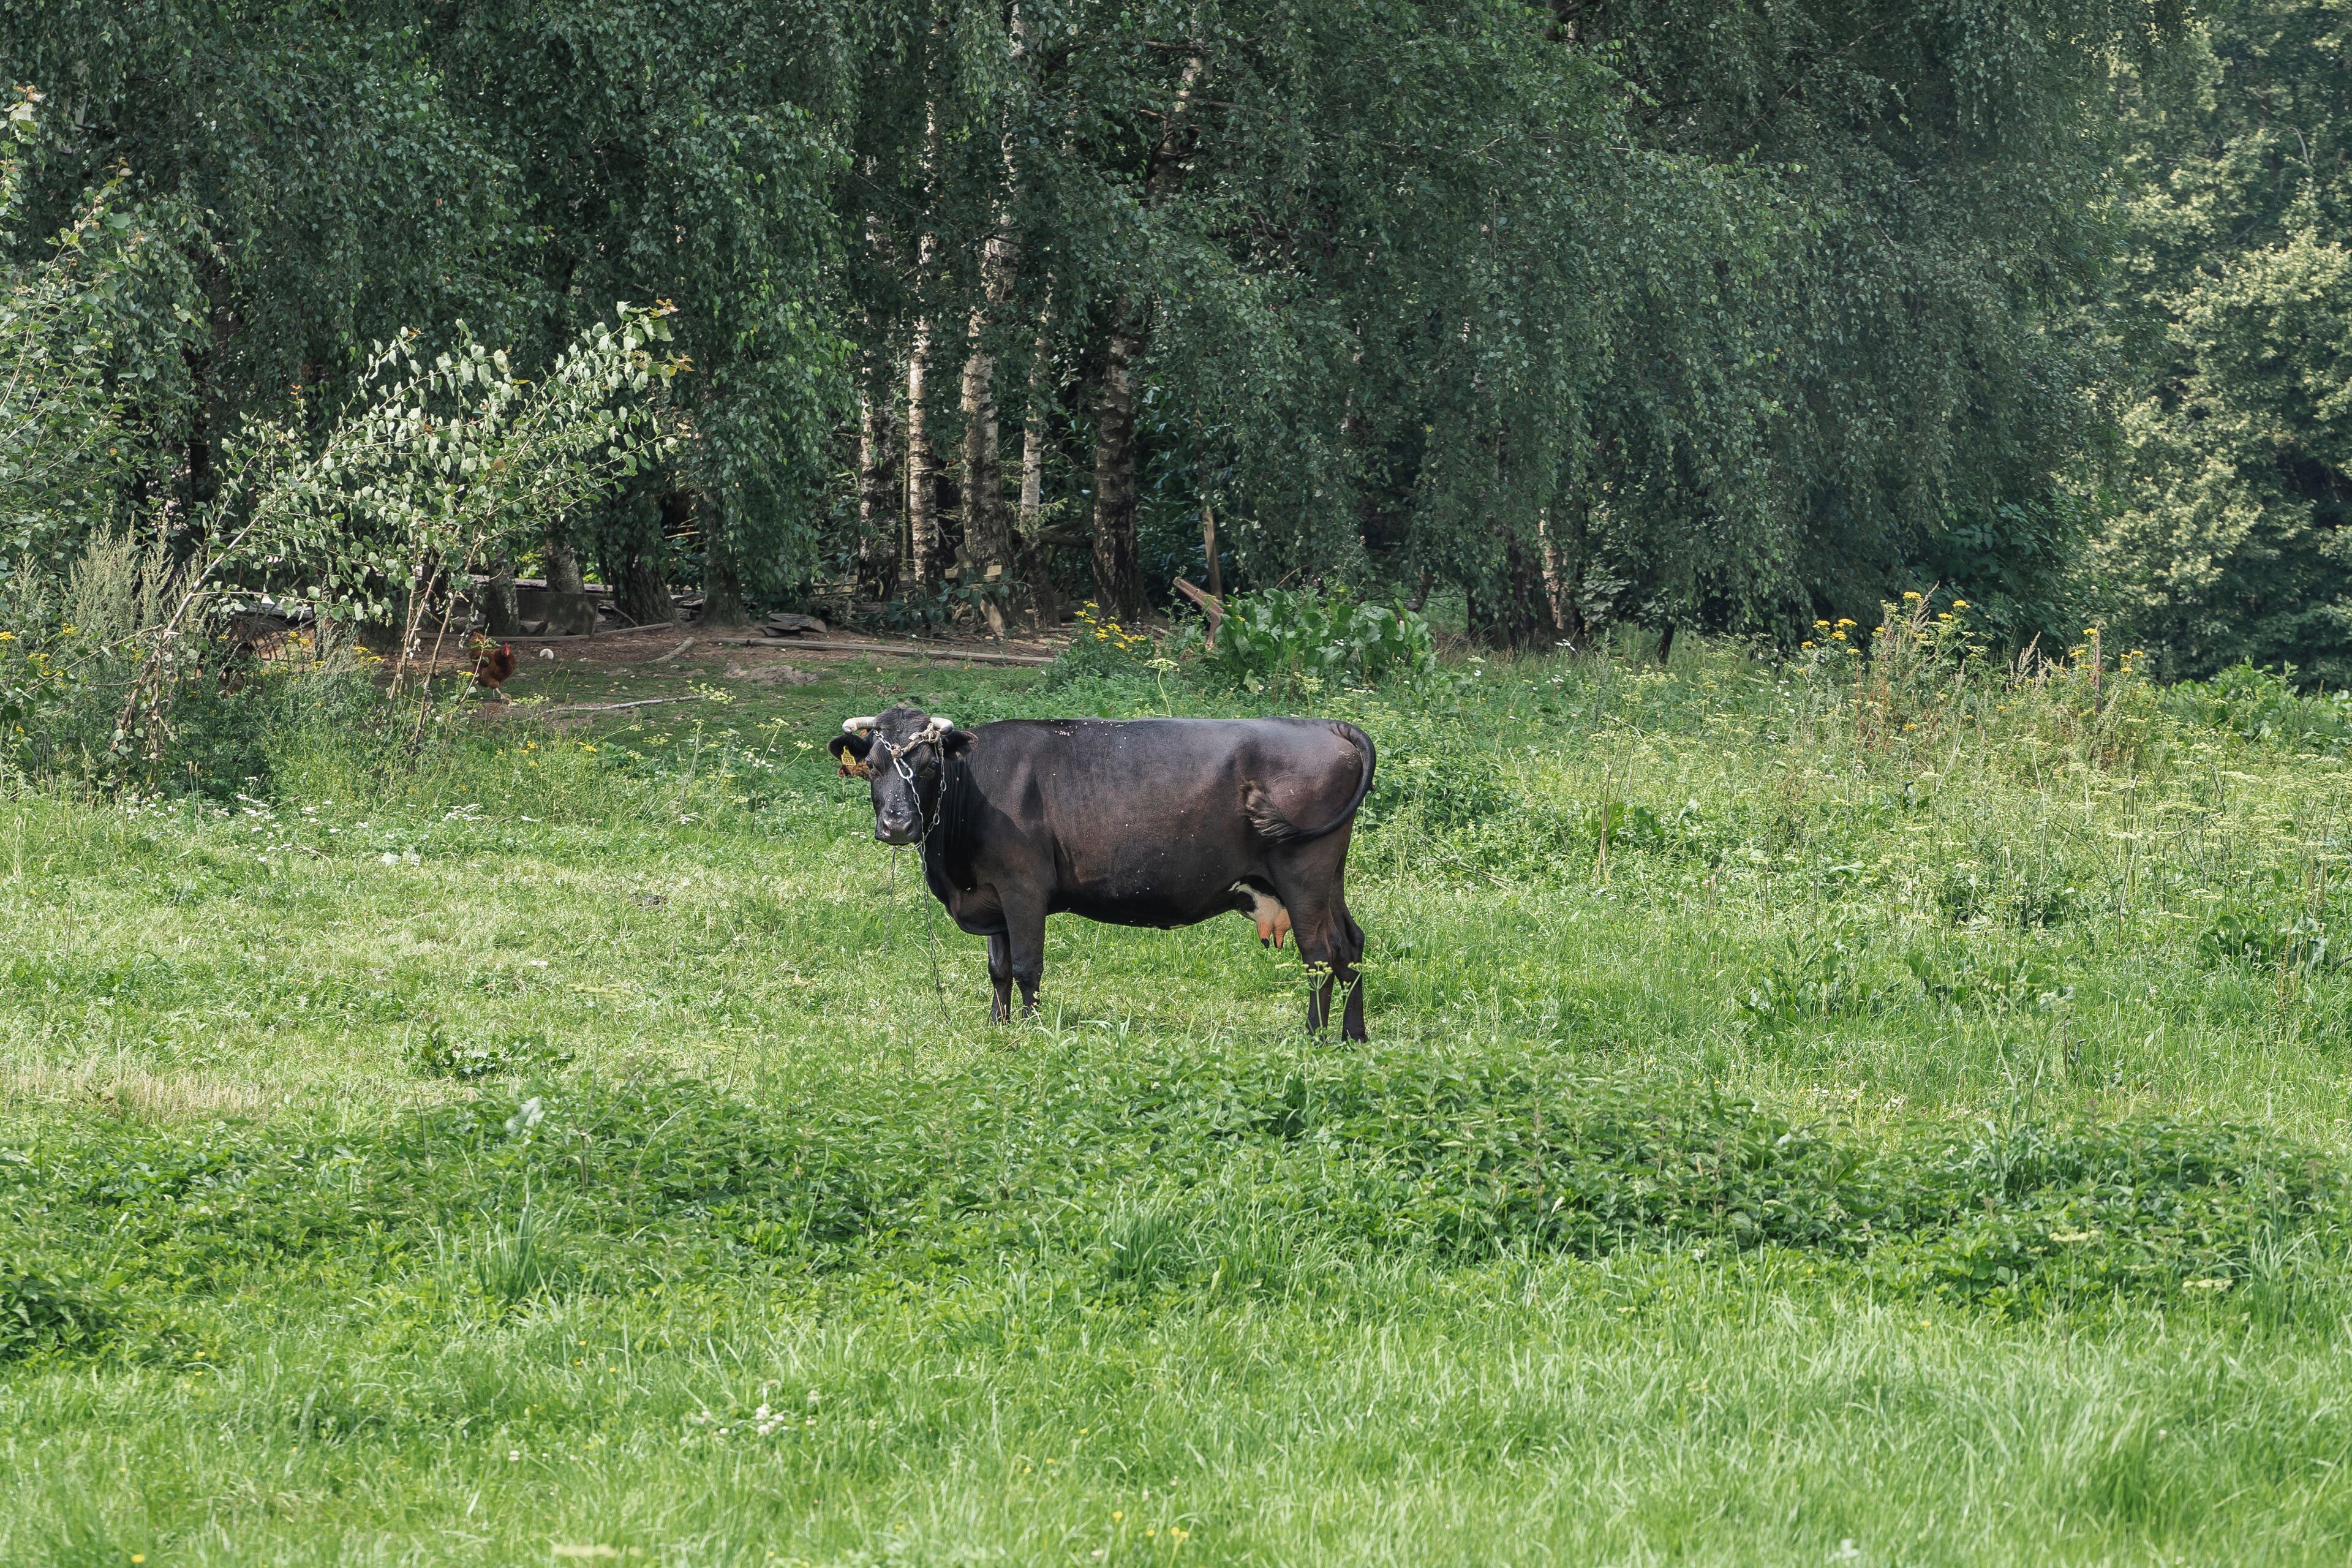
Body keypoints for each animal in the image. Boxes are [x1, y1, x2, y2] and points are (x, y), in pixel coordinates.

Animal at [830, 705, 1374, 1038]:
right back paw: (1354, 1037)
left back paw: (1314, 1036)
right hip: (1330, 877)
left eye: (928, 766)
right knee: (1350, 945)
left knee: (1320, 954)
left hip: (1303, 874)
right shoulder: (992, 896)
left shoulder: (1022, 886)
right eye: (873, 766)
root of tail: (1325, 726)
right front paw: (996, 1029)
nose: (896, 824)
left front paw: (1031, 1032)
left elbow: (1026, 966)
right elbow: (998, 969)